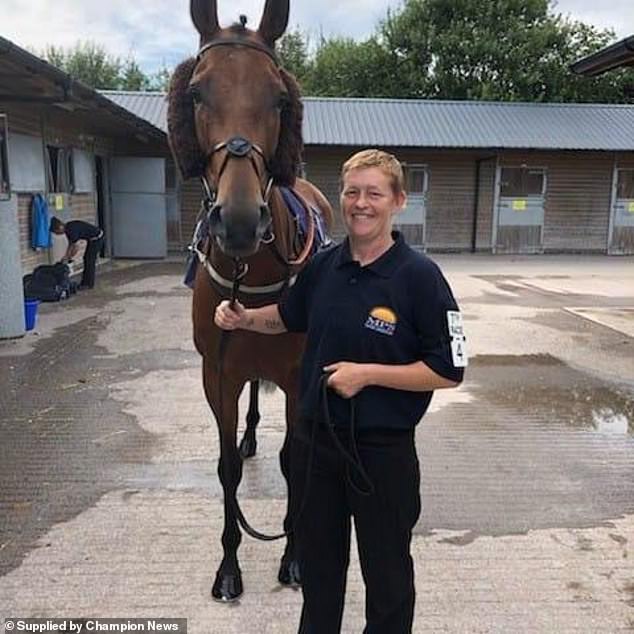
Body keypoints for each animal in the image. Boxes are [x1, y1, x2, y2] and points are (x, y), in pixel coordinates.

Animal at [168, 0, 336, 604]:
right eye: (196, 92)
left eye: (281, 98)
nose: (239, 222)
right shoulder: (217, 374)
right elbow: (225, 471)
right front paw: (228, 566)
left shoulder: (294, 374)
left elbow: (295, 463)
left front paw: (293, 556)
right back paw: (248, 438)